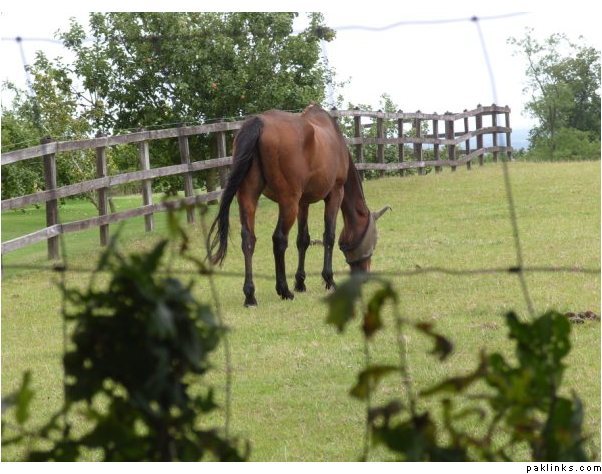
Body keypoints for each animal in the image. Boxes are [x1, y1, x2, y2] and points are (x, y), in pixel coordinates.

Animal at [207, 104, 390, 306]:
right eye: (374, 240)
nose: (364, 276)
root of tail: (259, 122)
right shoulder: (335, 193)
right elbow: (329, 236)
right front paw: (329, 280)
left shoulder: (304, 203)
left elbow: (303, 240)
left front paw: (300, 282)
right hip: (289, 202)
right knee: (279, 239)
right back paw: (284, 290)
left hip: (249, 197)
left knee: (248, 239)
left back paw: (250, 295)